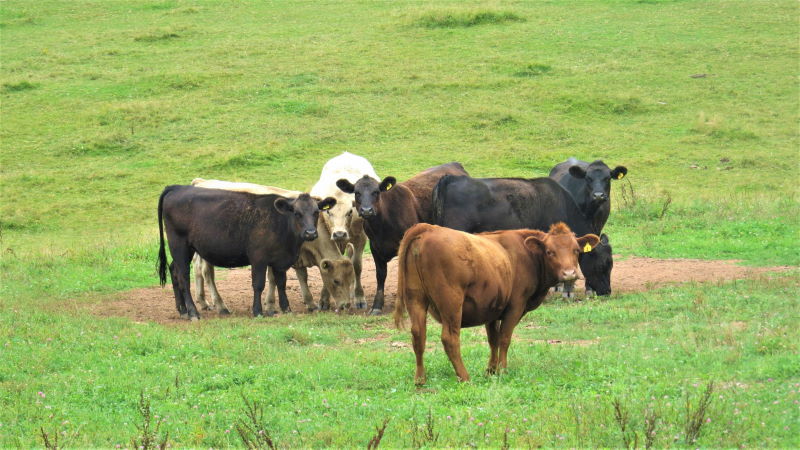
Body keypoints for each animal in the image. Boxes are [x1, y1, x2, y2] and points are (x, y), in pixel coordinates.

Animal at [157, 185, 336, 320]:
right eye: (297, 213)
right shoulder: (258, 258)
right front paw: (258, 311)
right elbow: (258, 284)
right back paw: (193, 312)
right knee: (183, 277)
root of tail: (177, 187)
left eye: (316, 212)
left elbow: (281, 283)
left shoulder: (280, 260)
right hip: (179, 244)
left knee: (174, 270)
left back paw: (182, 310)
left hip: (186, 249)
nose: (310, 233)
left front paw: (286, 309)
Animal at [189, 178, 356, 314]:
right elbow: (273, 279)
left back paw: (203, 302)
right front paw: (270, 305)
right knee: (206, 272)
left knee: (197, 268)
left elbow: (300, 276)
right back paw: (220, 305)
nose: (346, 305)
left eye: (352, 280)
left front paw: (309, 303)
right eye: (336, 281)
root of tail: (202, 182)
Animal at [309, 152, 380, 309]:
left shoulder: (360, 238)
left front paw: (359, 297)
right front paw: (324, 299)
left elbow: (357, 265)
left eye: (349, 212)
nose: (339, 234)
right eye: (328, 212)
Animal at [336, 162, 469, 315]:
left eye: (376, 192)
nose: (367, 210)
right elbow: (380, 275)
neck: (382, 226)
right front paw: (377, 305)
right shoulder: (375, 247)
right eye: (357, 193)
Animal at [394, 222, 600, 384]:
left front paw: (491, 370)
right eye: (550, 252)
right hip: (451, 303)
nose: (569, 273)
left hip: (415, 299)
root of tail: (428, 229)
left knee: (418, 335)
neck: (527, 255)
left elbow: (493, 340)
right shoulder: (515, 306)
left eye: (576, 250)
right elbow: (504, 338)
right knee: (449, 338)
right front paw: (502, 369)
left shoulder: (491, 308)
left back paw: (420, 379)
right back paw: (464, 376)